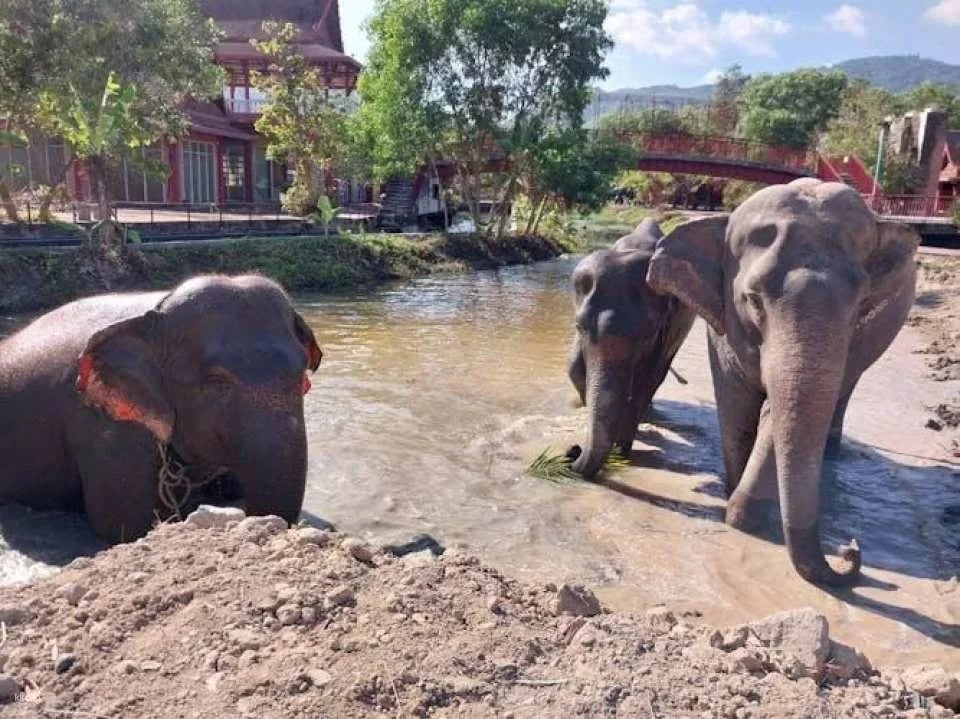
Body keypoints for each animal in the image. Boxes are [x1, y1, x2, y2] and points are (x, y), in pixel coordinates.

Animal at [567, 219, 696, 477]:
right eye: (579, 326)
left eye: (647, 334)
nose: (573, 450)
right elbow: (574, 369)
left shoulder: (667, 327)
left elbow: (643, 383)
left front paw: (621, 452)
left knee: (655, 379)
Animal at [647, 179, 919, 586]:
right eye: (753, 300)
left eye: (859, 304)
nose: (850, 549)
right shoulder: (722, 324)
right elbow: (736, 402)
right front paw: (732, 490)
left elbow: (777, 413)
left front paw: (743, 511)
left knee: (844, 391)